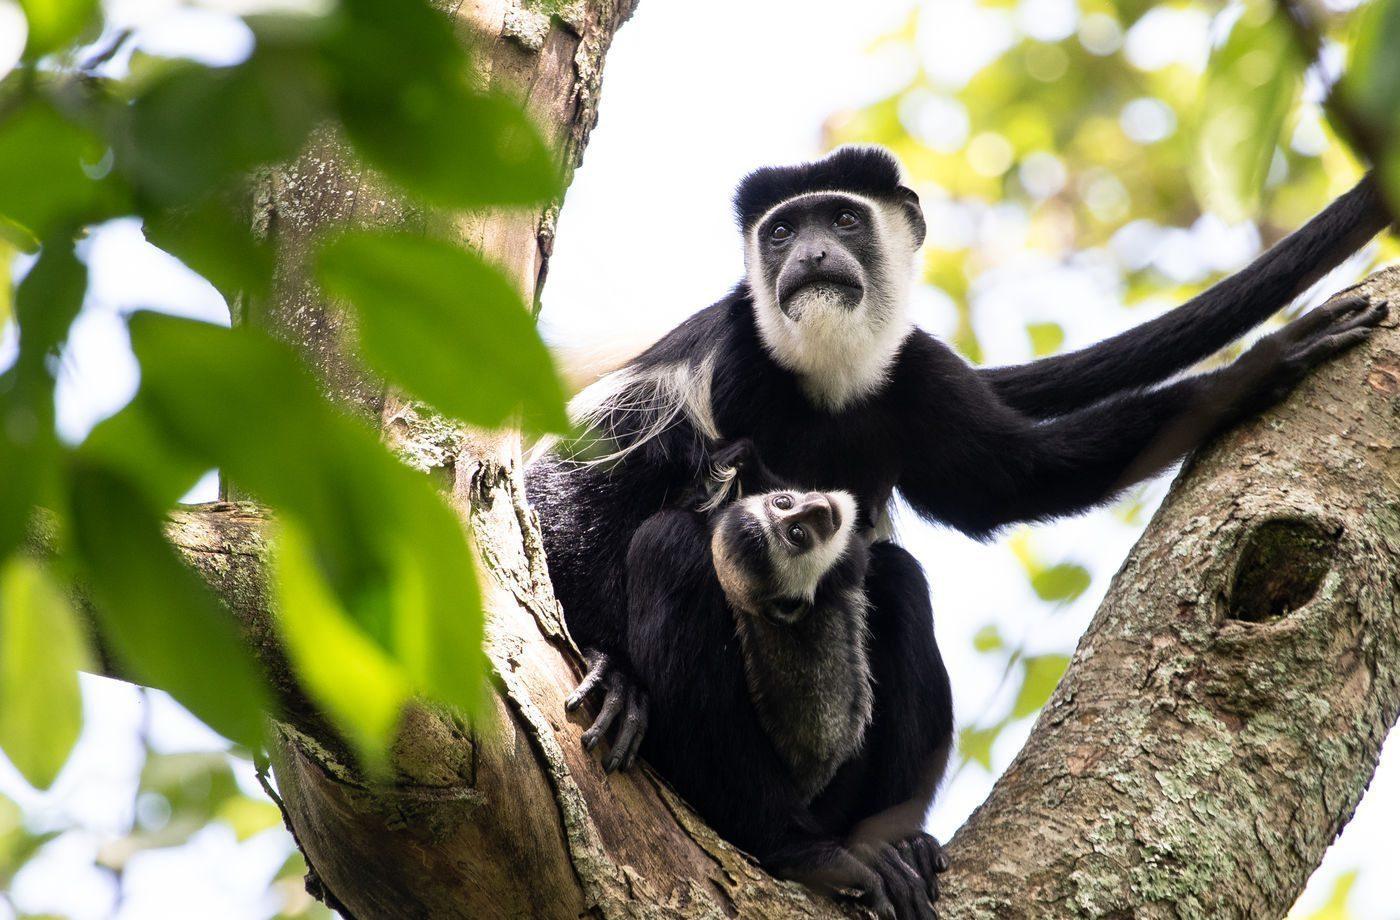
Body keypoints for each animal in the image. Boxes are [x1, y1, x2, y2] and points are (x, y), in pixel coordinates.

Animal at [630, 439, 946, 918]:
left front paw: (742, 465)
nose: (819, 508)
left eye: (784, 504)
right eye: (797, 535)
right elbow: (858, 557)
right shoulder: (838, 571)